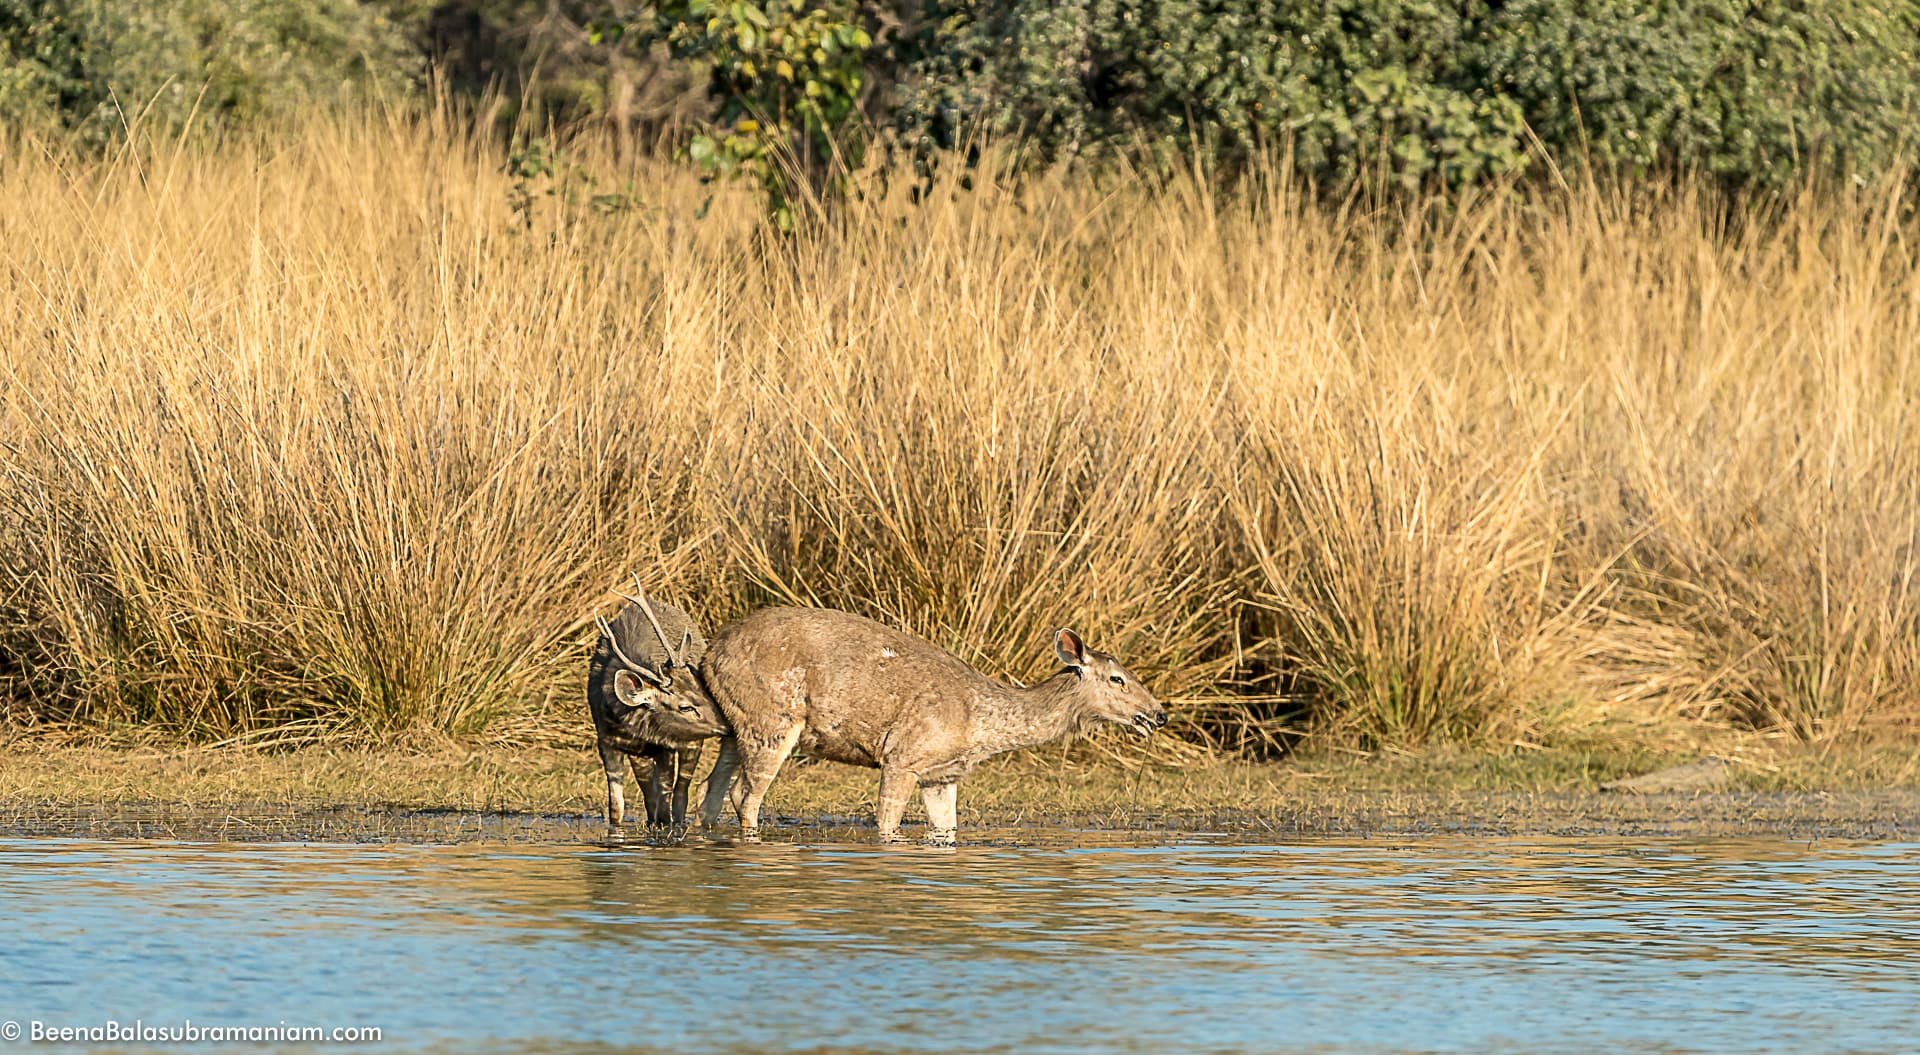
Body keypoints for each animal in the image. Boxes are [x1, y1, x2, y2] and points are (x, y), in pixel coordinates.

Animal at [698, 607, 1159, 837]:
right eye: (1117, 679)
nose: (1158, 714)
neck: (980, 724)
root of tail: (709, 655)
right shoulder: (902, 756)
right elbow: (886, 825)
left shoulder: (942, 775)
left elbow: (947, 831)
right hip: (773, 718)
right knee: (744, 795)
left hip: (735, 723)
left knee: (711, 792)